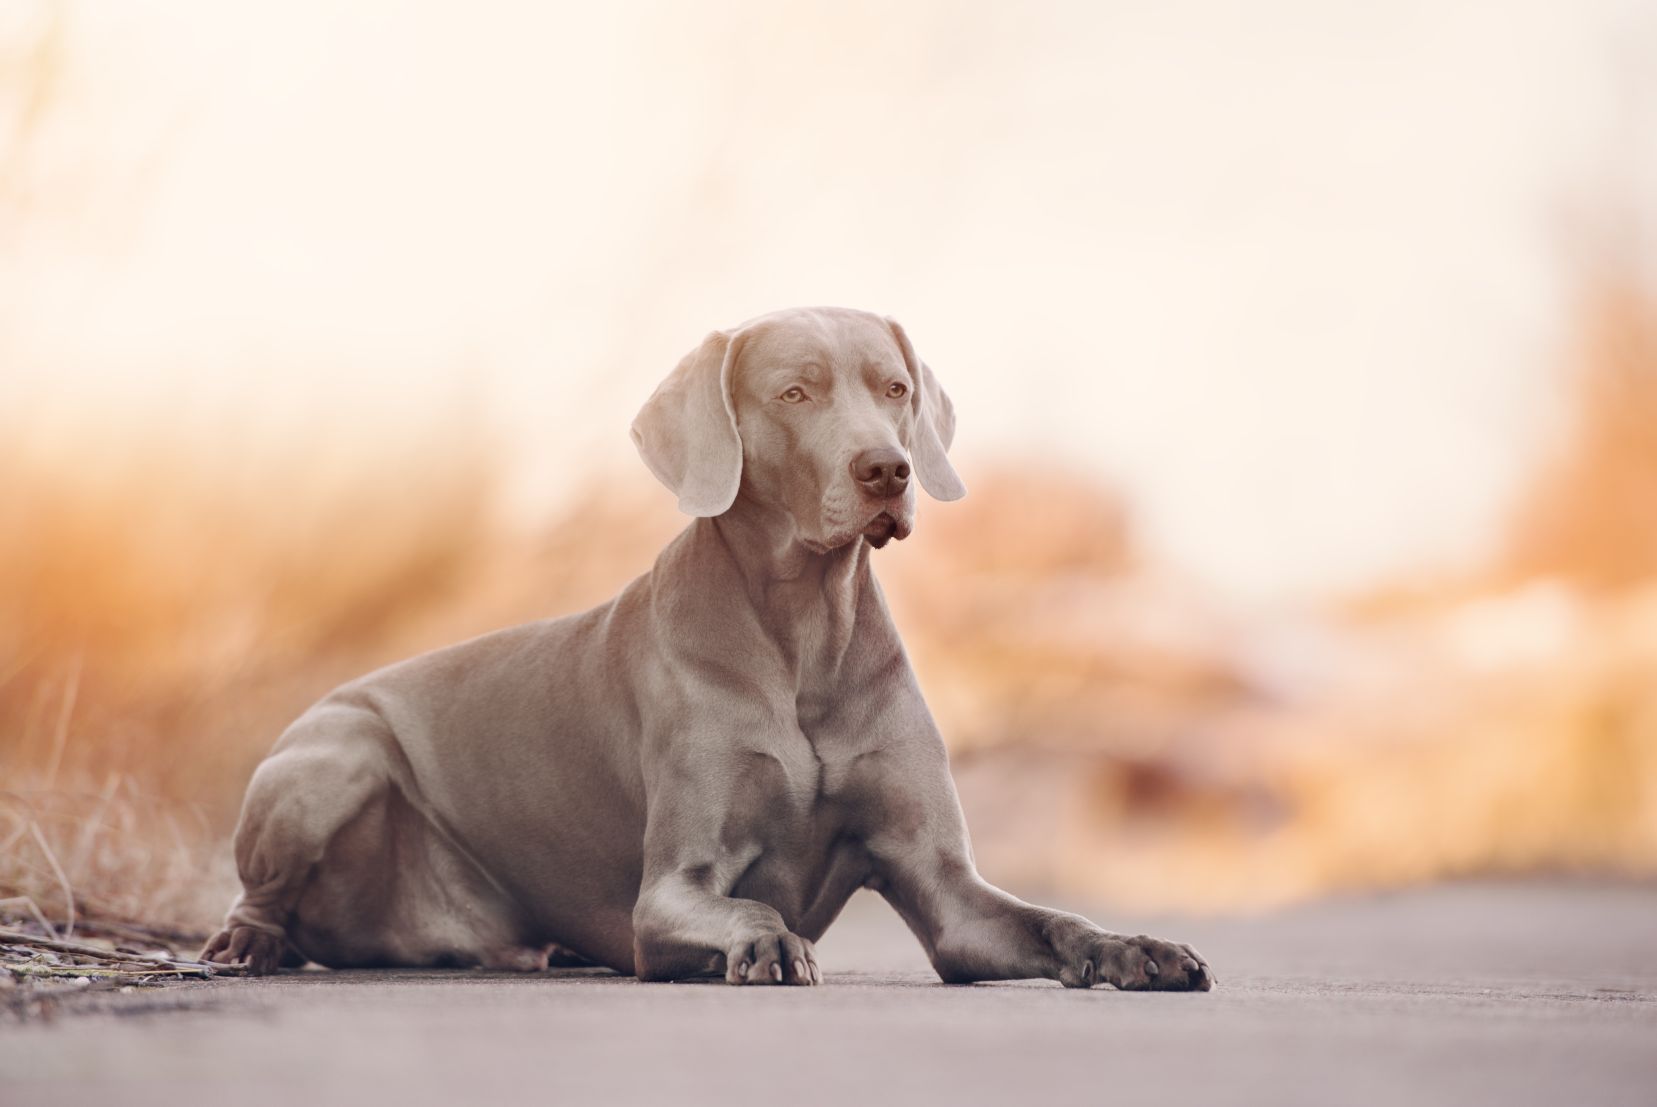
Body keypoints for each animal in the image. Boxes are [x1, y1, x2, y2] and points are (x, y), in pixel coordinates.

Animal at [207, 306, 1219, 987]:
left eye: (893, 389)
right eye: (794, 392)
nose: (886, 469)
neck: (805, 634)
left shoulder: (948, 893)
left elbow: (1050, 921)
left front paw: (1138, 947)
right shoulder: (666, 895)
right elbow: (745, 901)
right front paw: (766, 939)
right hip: (331, 755)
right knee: (261, 894)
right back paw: (246, 944)